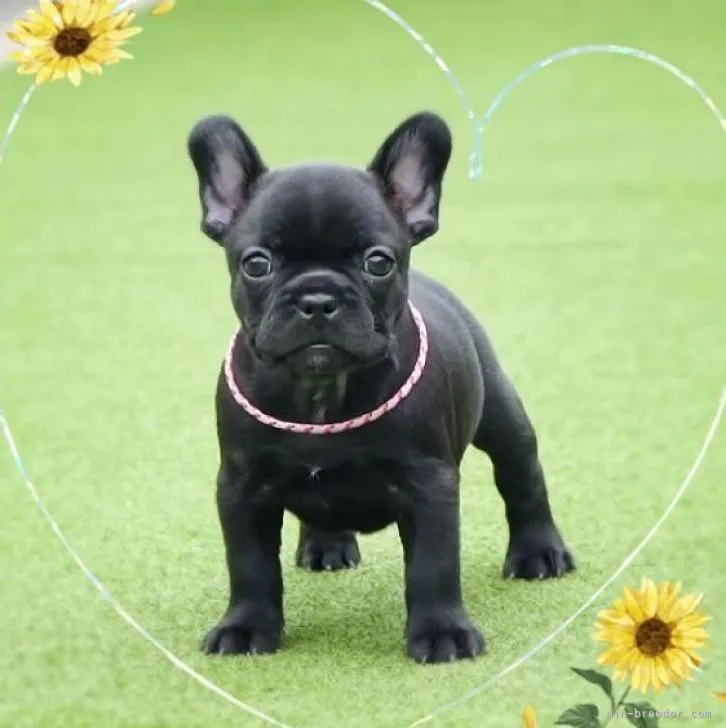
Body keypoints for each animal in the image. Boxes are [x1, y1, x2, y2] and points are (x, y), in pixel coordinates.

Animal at [191, 111, 576, 664]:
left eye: (379, 261)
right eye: (256, 263)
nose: (317, 298)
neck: (321, 393)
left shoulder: (430, 485)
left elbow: (434, 564)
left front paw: (442, 632)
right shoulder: (242, 488)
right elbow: (250, 566)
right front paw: (245, 627)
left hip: (502, 416)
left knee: (522, 475)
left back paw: (538, 552)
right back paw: (326, 546)